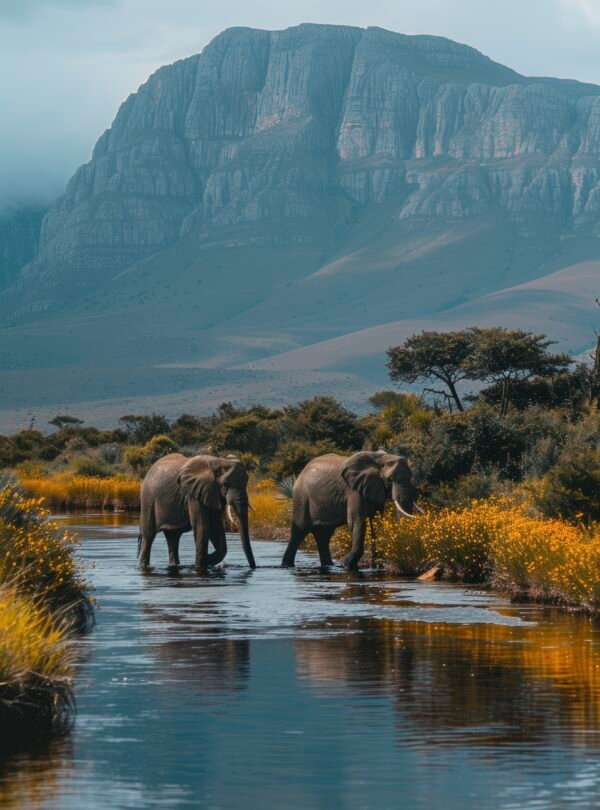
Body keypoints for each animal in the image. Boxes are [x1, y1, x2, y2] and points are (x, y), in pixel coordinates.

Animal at [281, 451, 421, 570]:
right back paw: (287, 566)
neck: (380, 459)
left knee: (323, 535)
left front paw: (377, 567)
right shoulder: (353, 490)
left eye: (411, 477)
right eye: (390, 480)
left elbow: (376, 523)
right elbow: (356, 521)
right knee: (300, 531)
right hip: (301, 496)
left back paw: (329, 566)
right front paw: (346, 565)